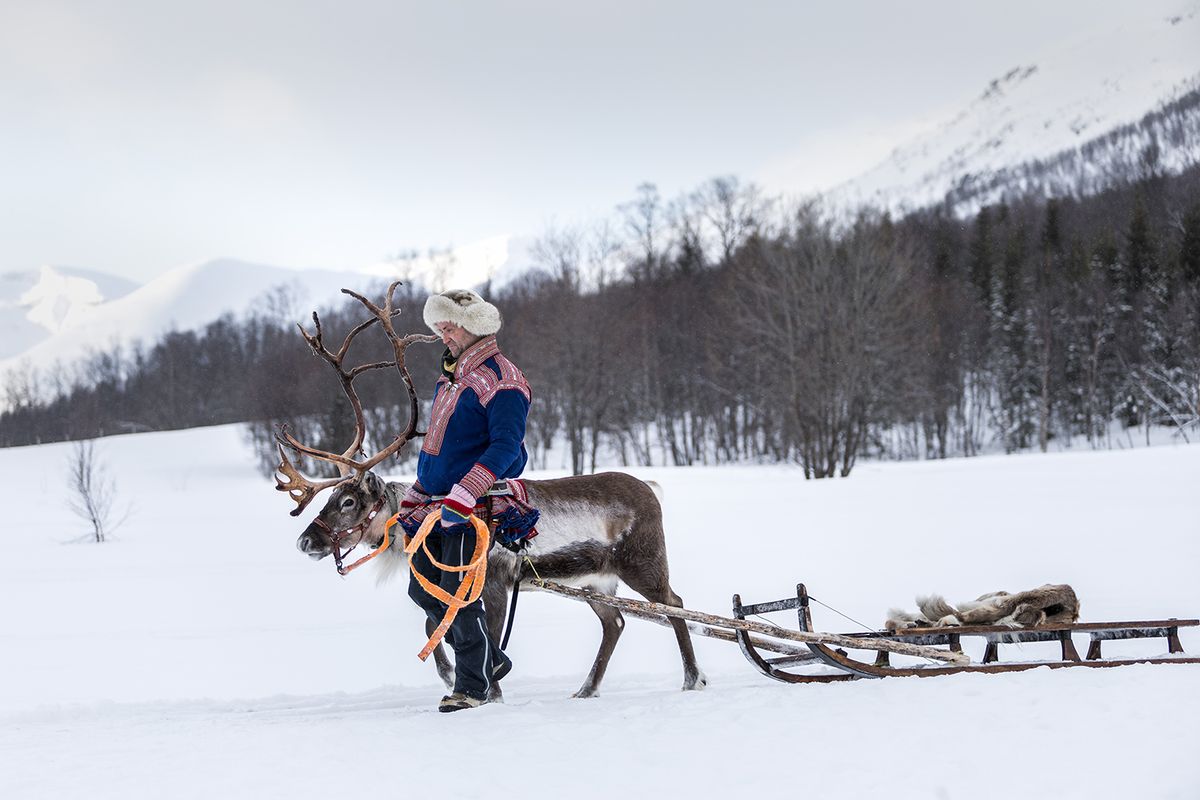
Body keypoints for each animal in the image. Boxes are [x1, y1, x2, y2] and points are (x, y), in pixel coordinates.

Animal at [275, 283, 705, 700]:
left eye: (348, 501)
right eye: (329, 500)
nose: (305, 541)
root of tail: (651, 490)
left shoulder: (496, 580)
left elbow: (486, 633)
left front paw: (488, 691)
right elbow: (438, 622)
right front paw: (455, 676)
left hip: (642, 562)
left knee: (675, 605)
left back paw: (692, 678)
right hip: (595, 580)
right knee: (615, 622)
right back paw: (586, 690)